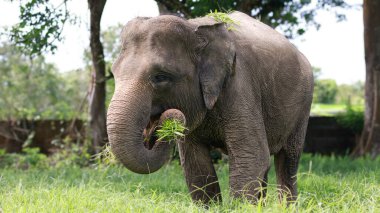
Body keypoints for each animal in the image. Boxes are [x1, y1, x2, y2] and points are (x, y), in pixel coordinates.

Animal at [106, 11, 312, 205]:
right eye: (113, 73)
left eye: (161, 77)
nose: (167, 121)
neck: (196, 27)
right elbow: (196, 164)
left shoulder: (239, 84)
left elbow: (251, 156)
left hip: (303, 106)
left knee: (288, 161)